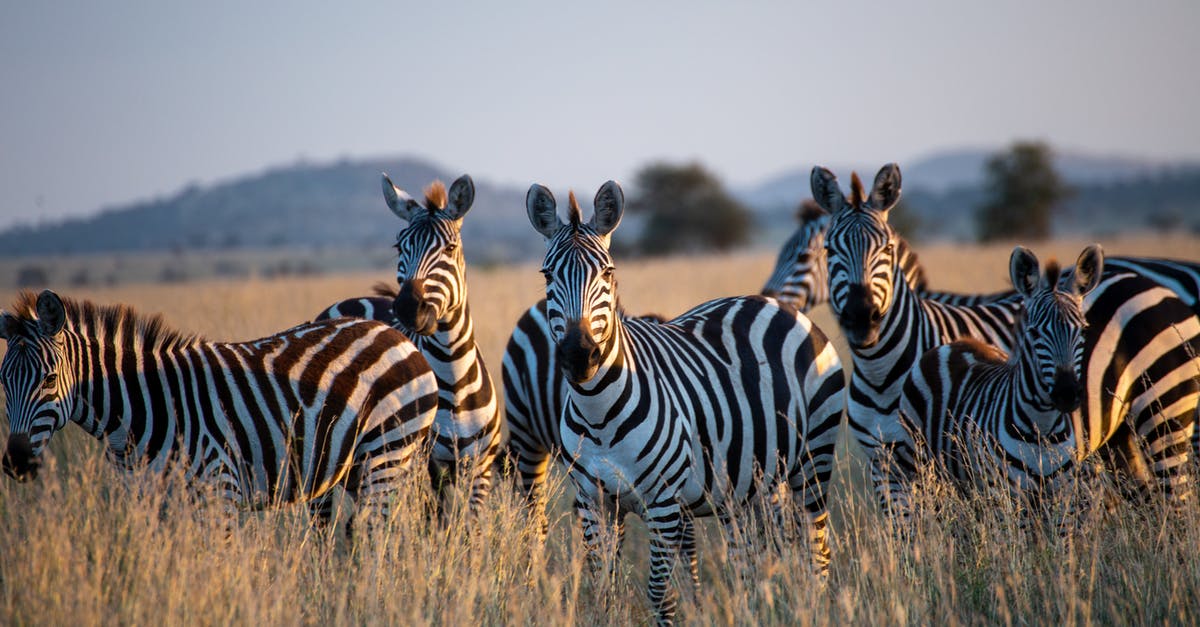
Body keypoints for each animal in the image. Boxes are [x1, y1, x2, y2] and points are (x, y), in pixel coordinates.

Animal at [0, 287, 441, 526]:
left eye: (49, 380)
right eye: (2, 383)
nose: (16, 463)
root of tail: (394, 333)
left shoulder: (219, 490)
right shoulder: (147, 502)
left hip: (385, 453)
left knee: (378, 538)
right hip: (352, 467)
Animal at [314, 174, 501, 516]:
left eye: (450, 248)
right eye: (400, 246)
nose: (407, 307)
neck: (454, 378)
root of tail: (352, 301)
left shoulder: (480, 469)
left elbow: (471, 527)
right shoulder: (423, 469)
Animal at [525, 178, 844, 619]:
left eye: (608, 272)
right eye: (547, 274)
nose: (578, 354)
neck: (598, 413)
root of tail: (777, 304)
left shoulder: (663, 503)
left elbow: (660, 592)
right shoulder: (593, 503)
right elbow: (603, 590)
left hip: (814, 458)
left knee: (817, 553)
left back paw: (813, 606)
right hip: (750, 484)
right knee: (752, 562)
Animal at [892, 243, 1104, 526]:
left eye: (1082, 330)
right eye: (1034, 333)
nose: (1067, 393)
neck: (1042, 428)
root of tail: (954, 344)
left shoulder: (1064, 497)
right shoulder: (1008, 498)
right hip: (918, 466)